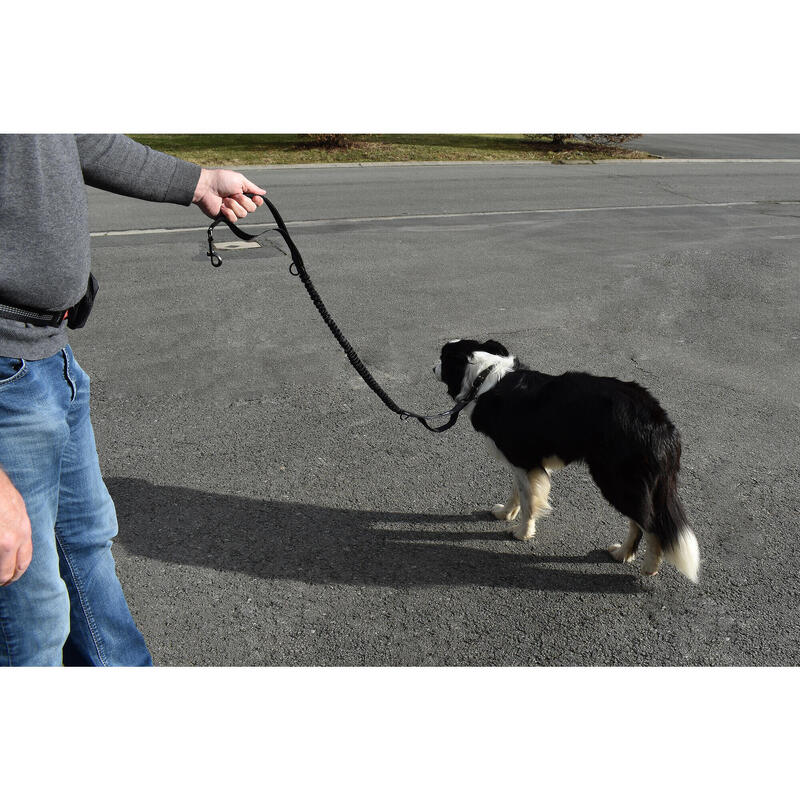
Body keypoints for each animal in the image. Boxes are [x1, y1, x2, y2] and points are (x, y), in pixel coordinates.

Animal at [432, 338, 700, 580]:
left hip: (616, 479)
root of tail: (662, 425)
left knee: (651, 525)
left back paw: (649, 566)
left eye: (443, 357)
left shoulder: (523, 460)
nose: (432, 367)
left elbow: (529, 501)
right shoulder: (523, 462)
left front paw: (523, 532)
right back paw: (622, 554)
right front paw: (506, 513)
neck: (483, 378)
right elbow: (518, 491)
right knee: (640, 521)